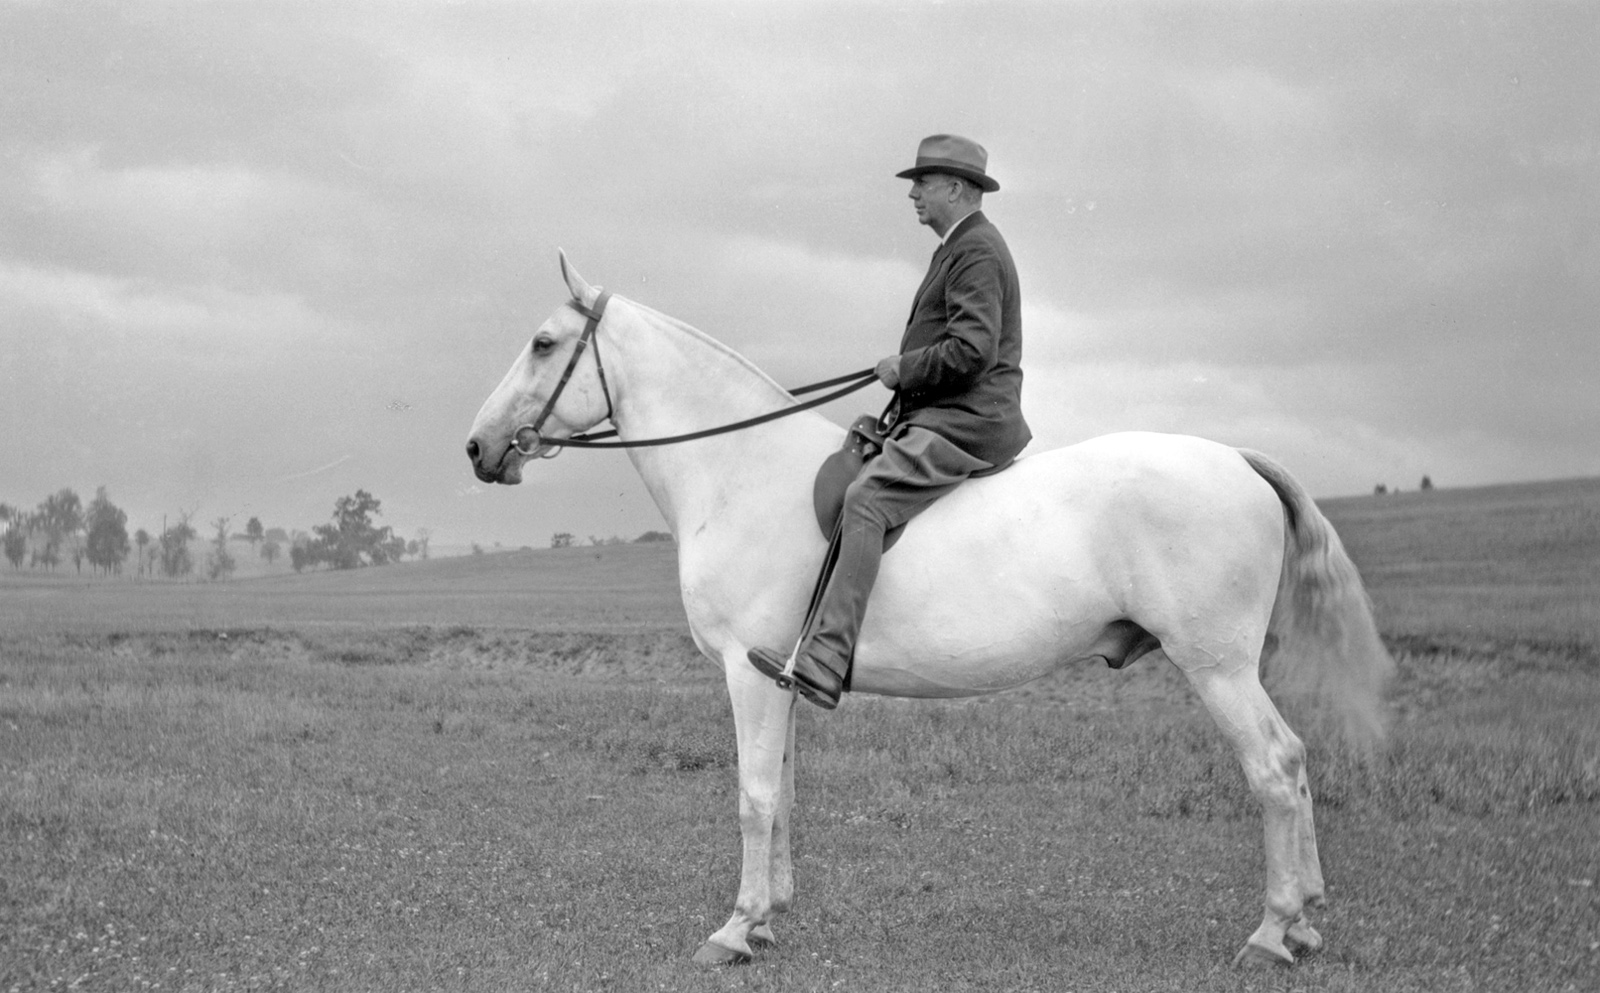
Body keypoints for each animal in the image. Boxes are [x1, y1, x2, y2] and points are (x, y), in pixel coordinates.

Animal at [464, 254, 1388, 965]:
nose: (478, 447)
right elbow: (785, 791)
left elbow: (754, 795)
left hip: (1217, 665)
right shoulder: (776, 675)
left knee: (1274, 765)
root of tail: (1236, 456)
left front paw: (733, 929)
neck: (738, 471)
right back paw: (1303, 922)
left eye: (543, 343)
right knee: (1296, 762)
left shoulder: (746, 673)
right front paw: (769, 919)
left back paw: (1271, 932)